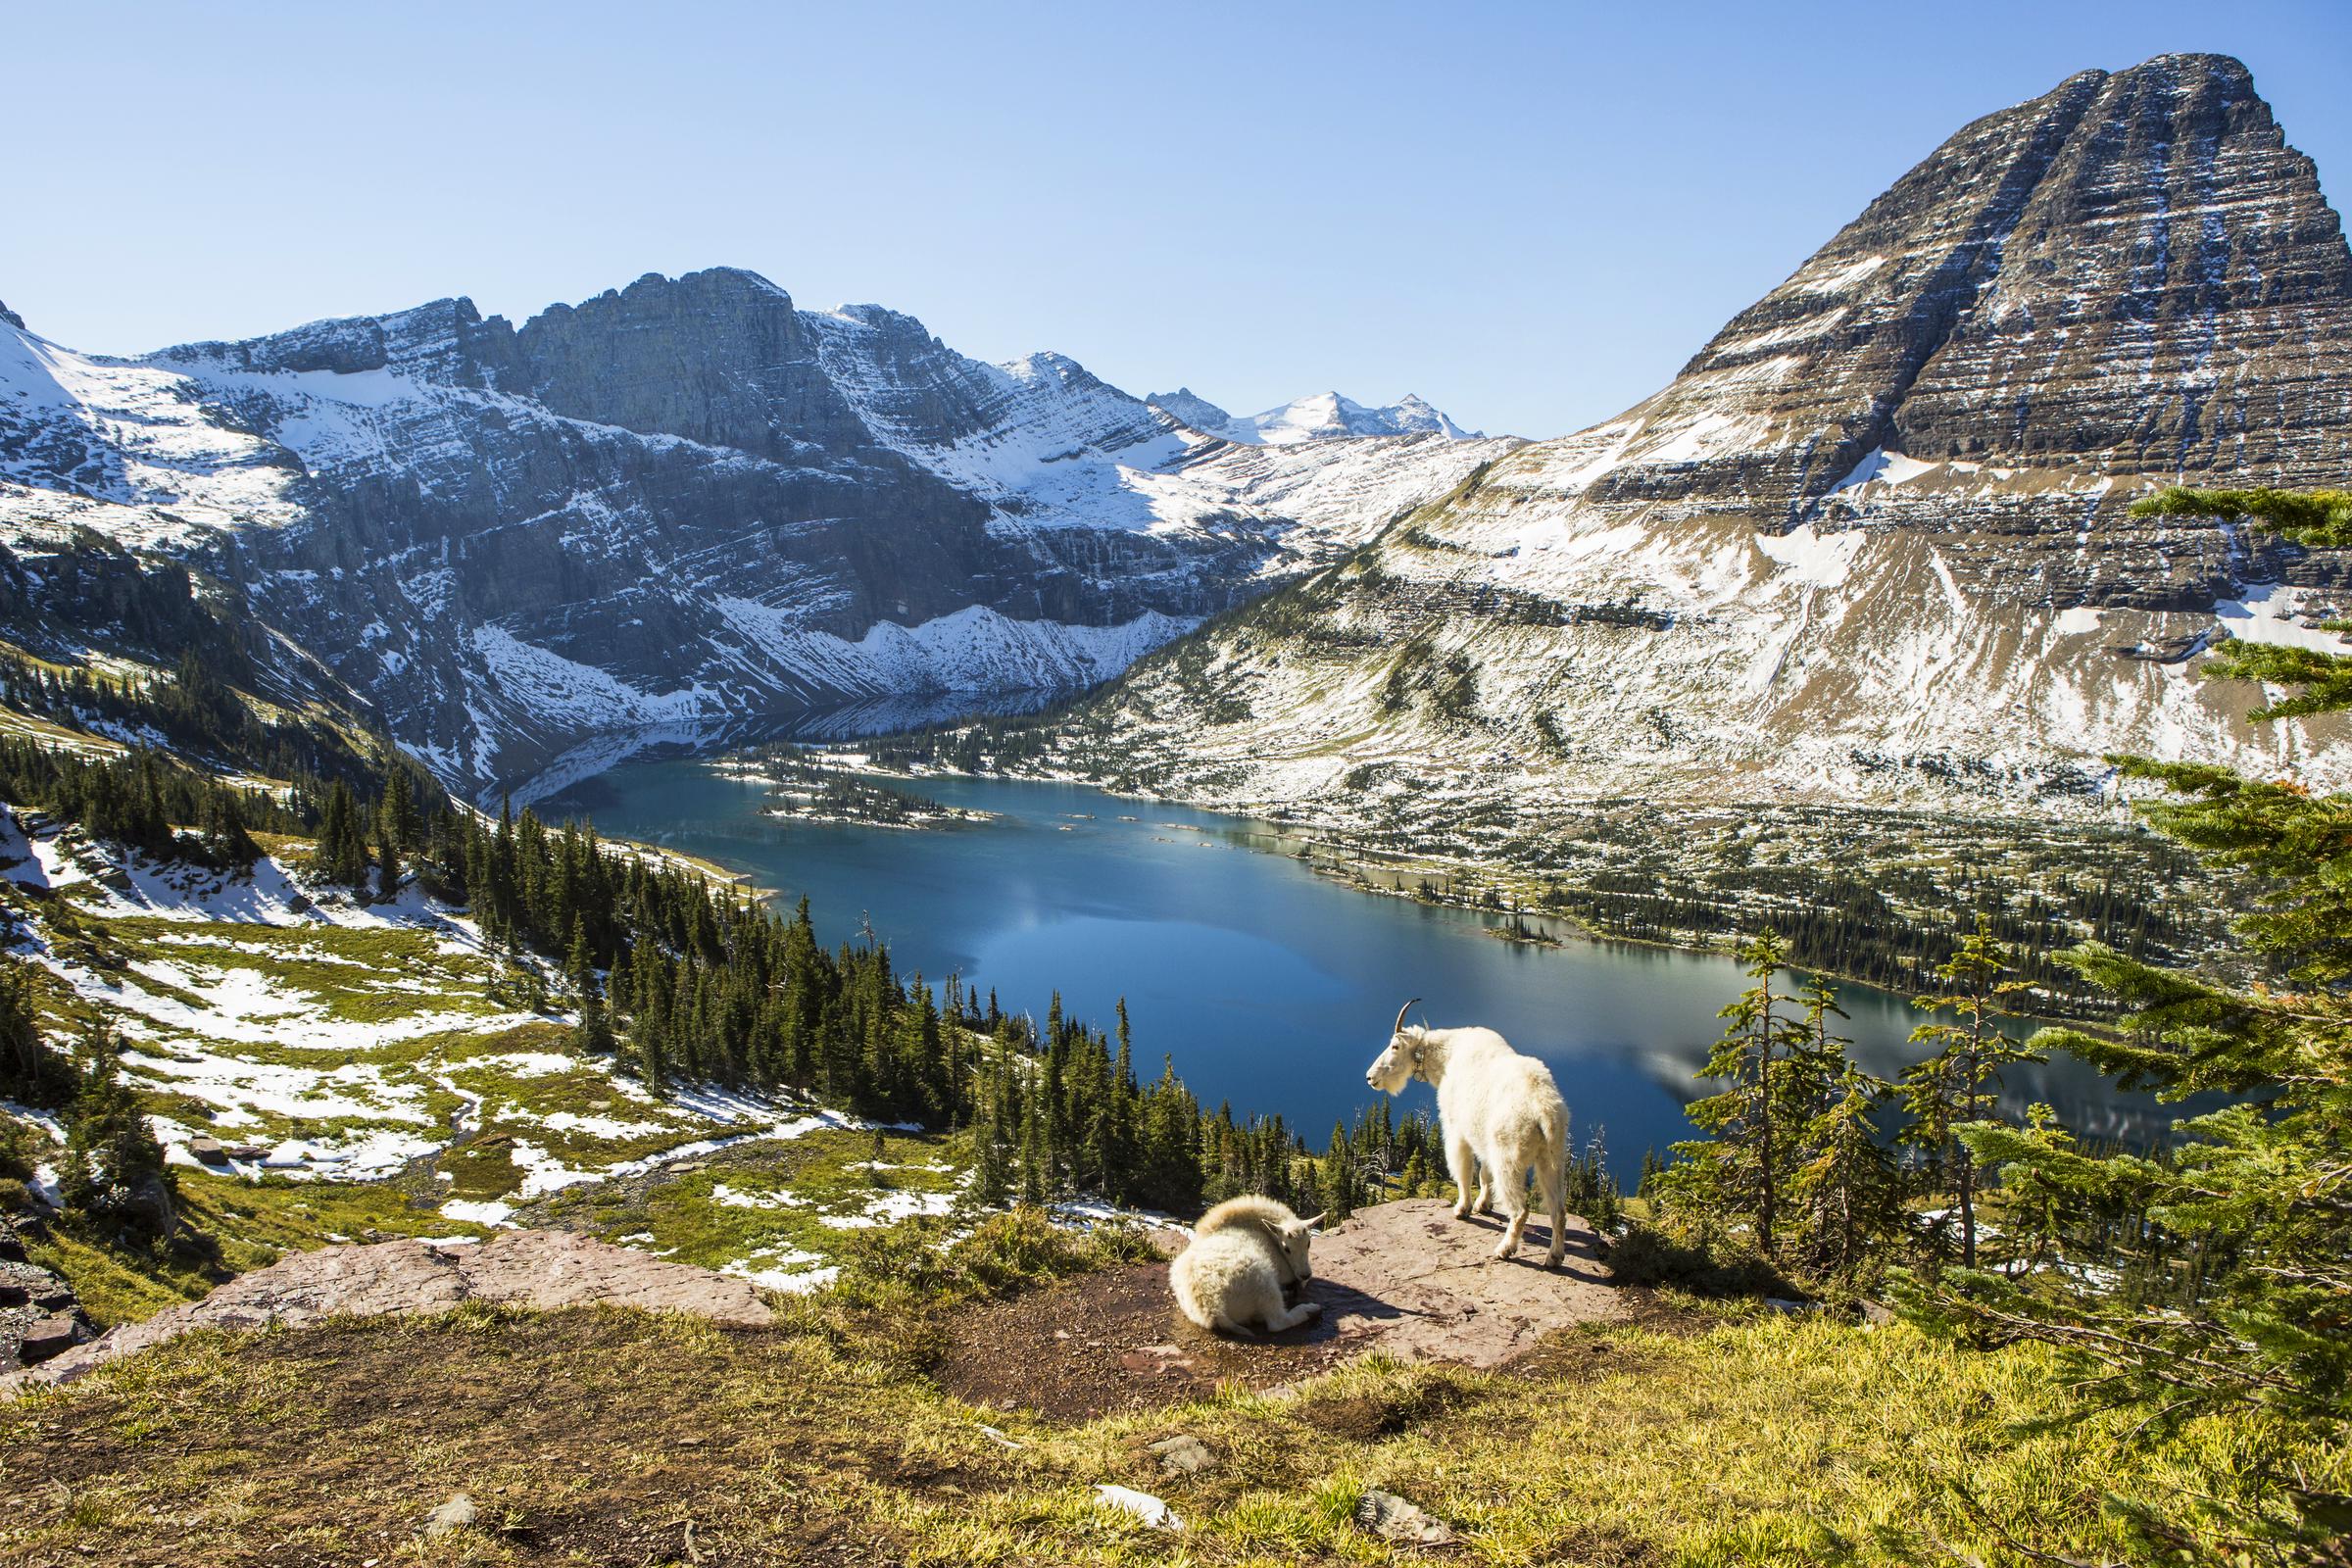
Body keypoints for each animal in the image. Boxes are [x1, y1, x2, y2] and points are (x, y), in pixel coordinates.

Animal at [1170, 1197, 1323, 1336]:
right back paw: (1309, 1309)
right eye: (1287, 1248)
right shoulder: (1285, 1270)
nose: (1305, 1274)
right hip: (1264, 1282)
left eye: (1309, 1243)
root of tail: (1212, 1309)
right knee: (1277, 1321)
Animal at [1365, 999, 1570, 1265]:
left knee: (1520, 1209)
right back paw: (1554, 1256)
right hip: (1552, 1158)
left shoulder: (1457, 1131)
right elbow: (1483, 1174)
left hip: (1509, 1157)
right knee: (1559, 1209)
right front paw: (1484, 1205)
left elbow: (1463, 1170)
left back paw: (1505, 1249)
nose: (1370, 1077)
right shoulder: (1482, 1138)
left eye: (1395, 1046)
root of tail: (1543, 1109)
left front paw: (1462, 1209)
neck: (1446, 1057)